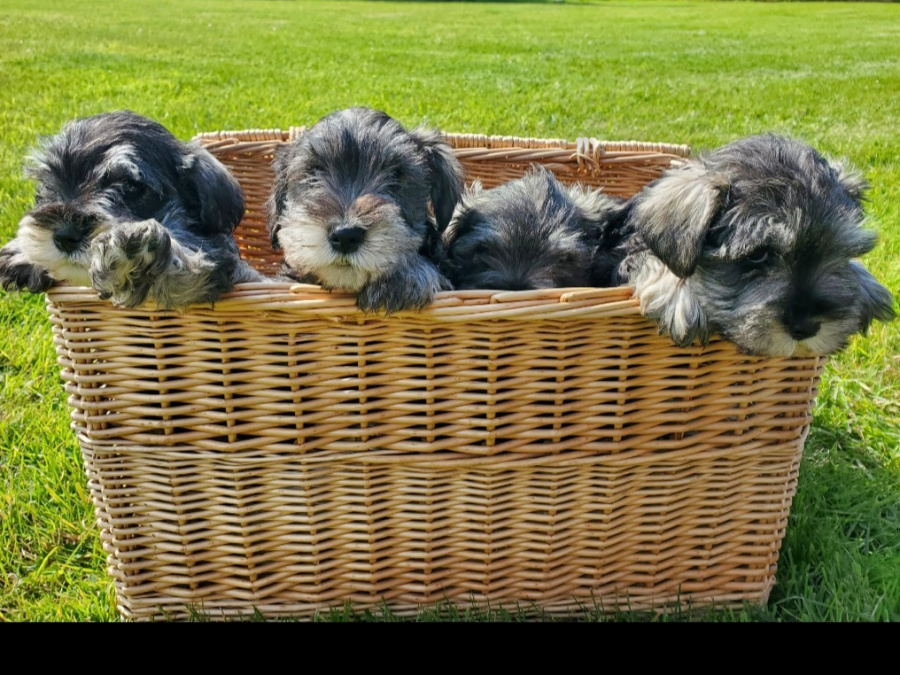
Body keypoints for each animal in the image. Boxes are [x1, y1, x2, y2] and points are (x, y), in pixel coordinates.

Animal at [0, 110, 262, 308]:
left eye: (130, 185)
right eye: (48, 183)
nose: (65, 236)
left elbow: (186, 265)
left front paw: (129, 249)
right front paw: (19, 254)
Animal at [608, 135, 896, 362]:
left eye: (836, 250)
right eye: (757, 255)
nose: (806, 326)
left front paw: (868, 287)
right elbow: (654, 259)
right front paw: (680, 296)